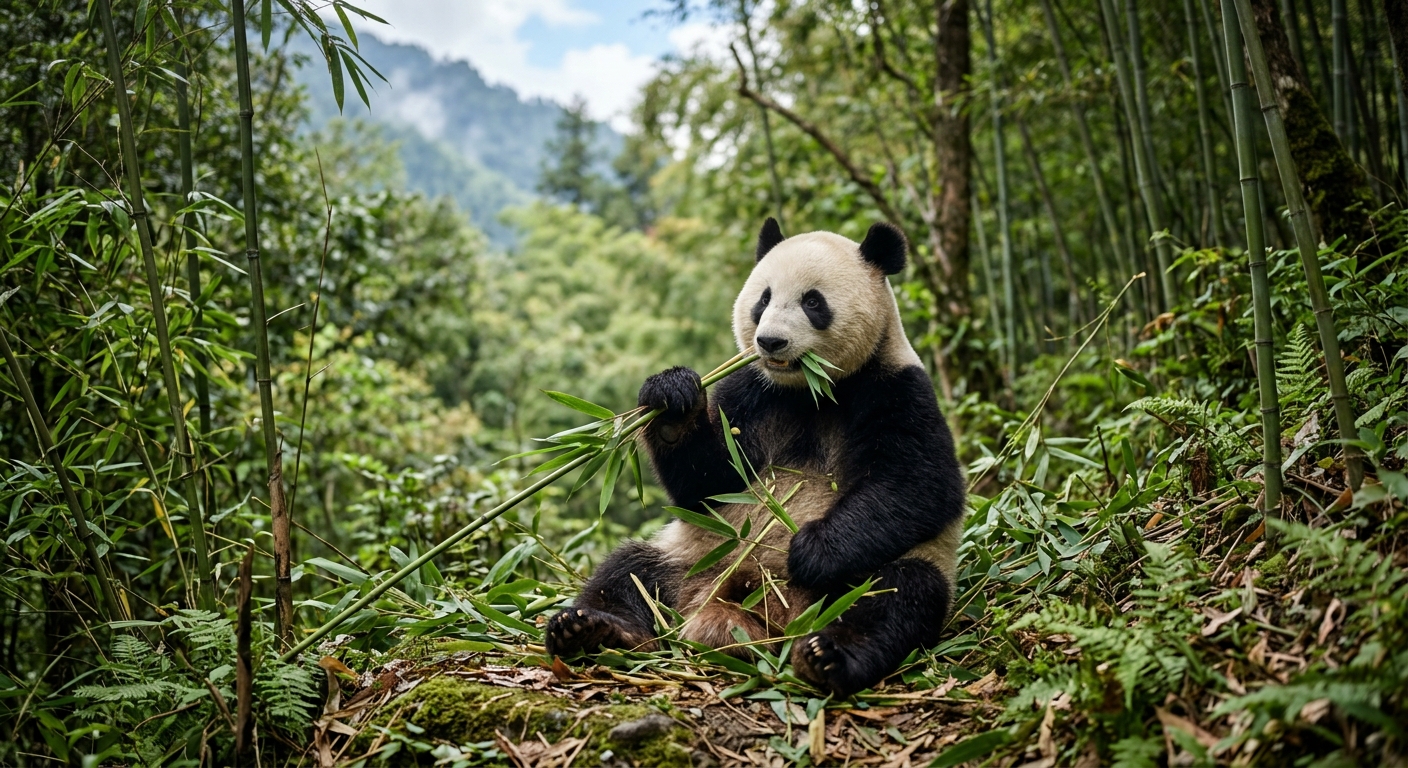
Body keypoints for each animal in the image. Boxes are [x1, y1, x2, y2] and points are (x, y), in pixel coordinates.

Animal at [544, 218, 966, 697]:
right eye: (763, 298)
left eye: (813, 302)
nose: (770, 341)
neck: (808, 391)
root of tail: (766, 614)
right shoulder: (752, 391)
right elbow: (708, 482)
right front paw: (672, 401)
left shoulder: (896, 388)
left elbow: (920, 486)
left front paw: (810, 550)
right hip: (692, 557)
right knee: (628, 572)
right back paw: (591, 630)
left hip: (881, 574)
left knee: (896, 596)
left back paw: (827, 656)